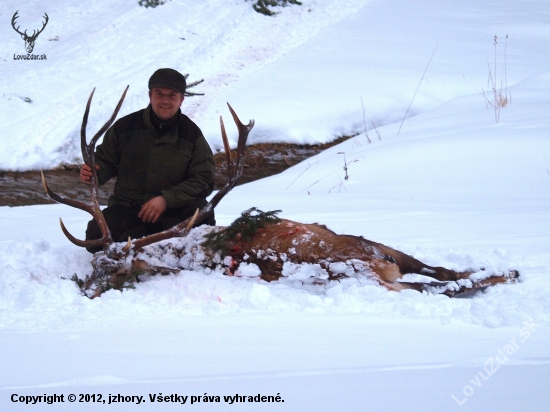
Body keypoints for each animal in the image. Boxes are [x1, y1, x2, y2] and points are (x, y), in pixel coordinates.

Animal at [41, 88, 520, 298]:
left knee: (437, 283)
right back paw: (507, 273)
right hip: (384, 255)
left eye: (117, 269)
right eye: (95, 262)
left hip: (374, 263)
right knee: (445, 274)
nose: (84, 289)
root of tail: (378, 263)